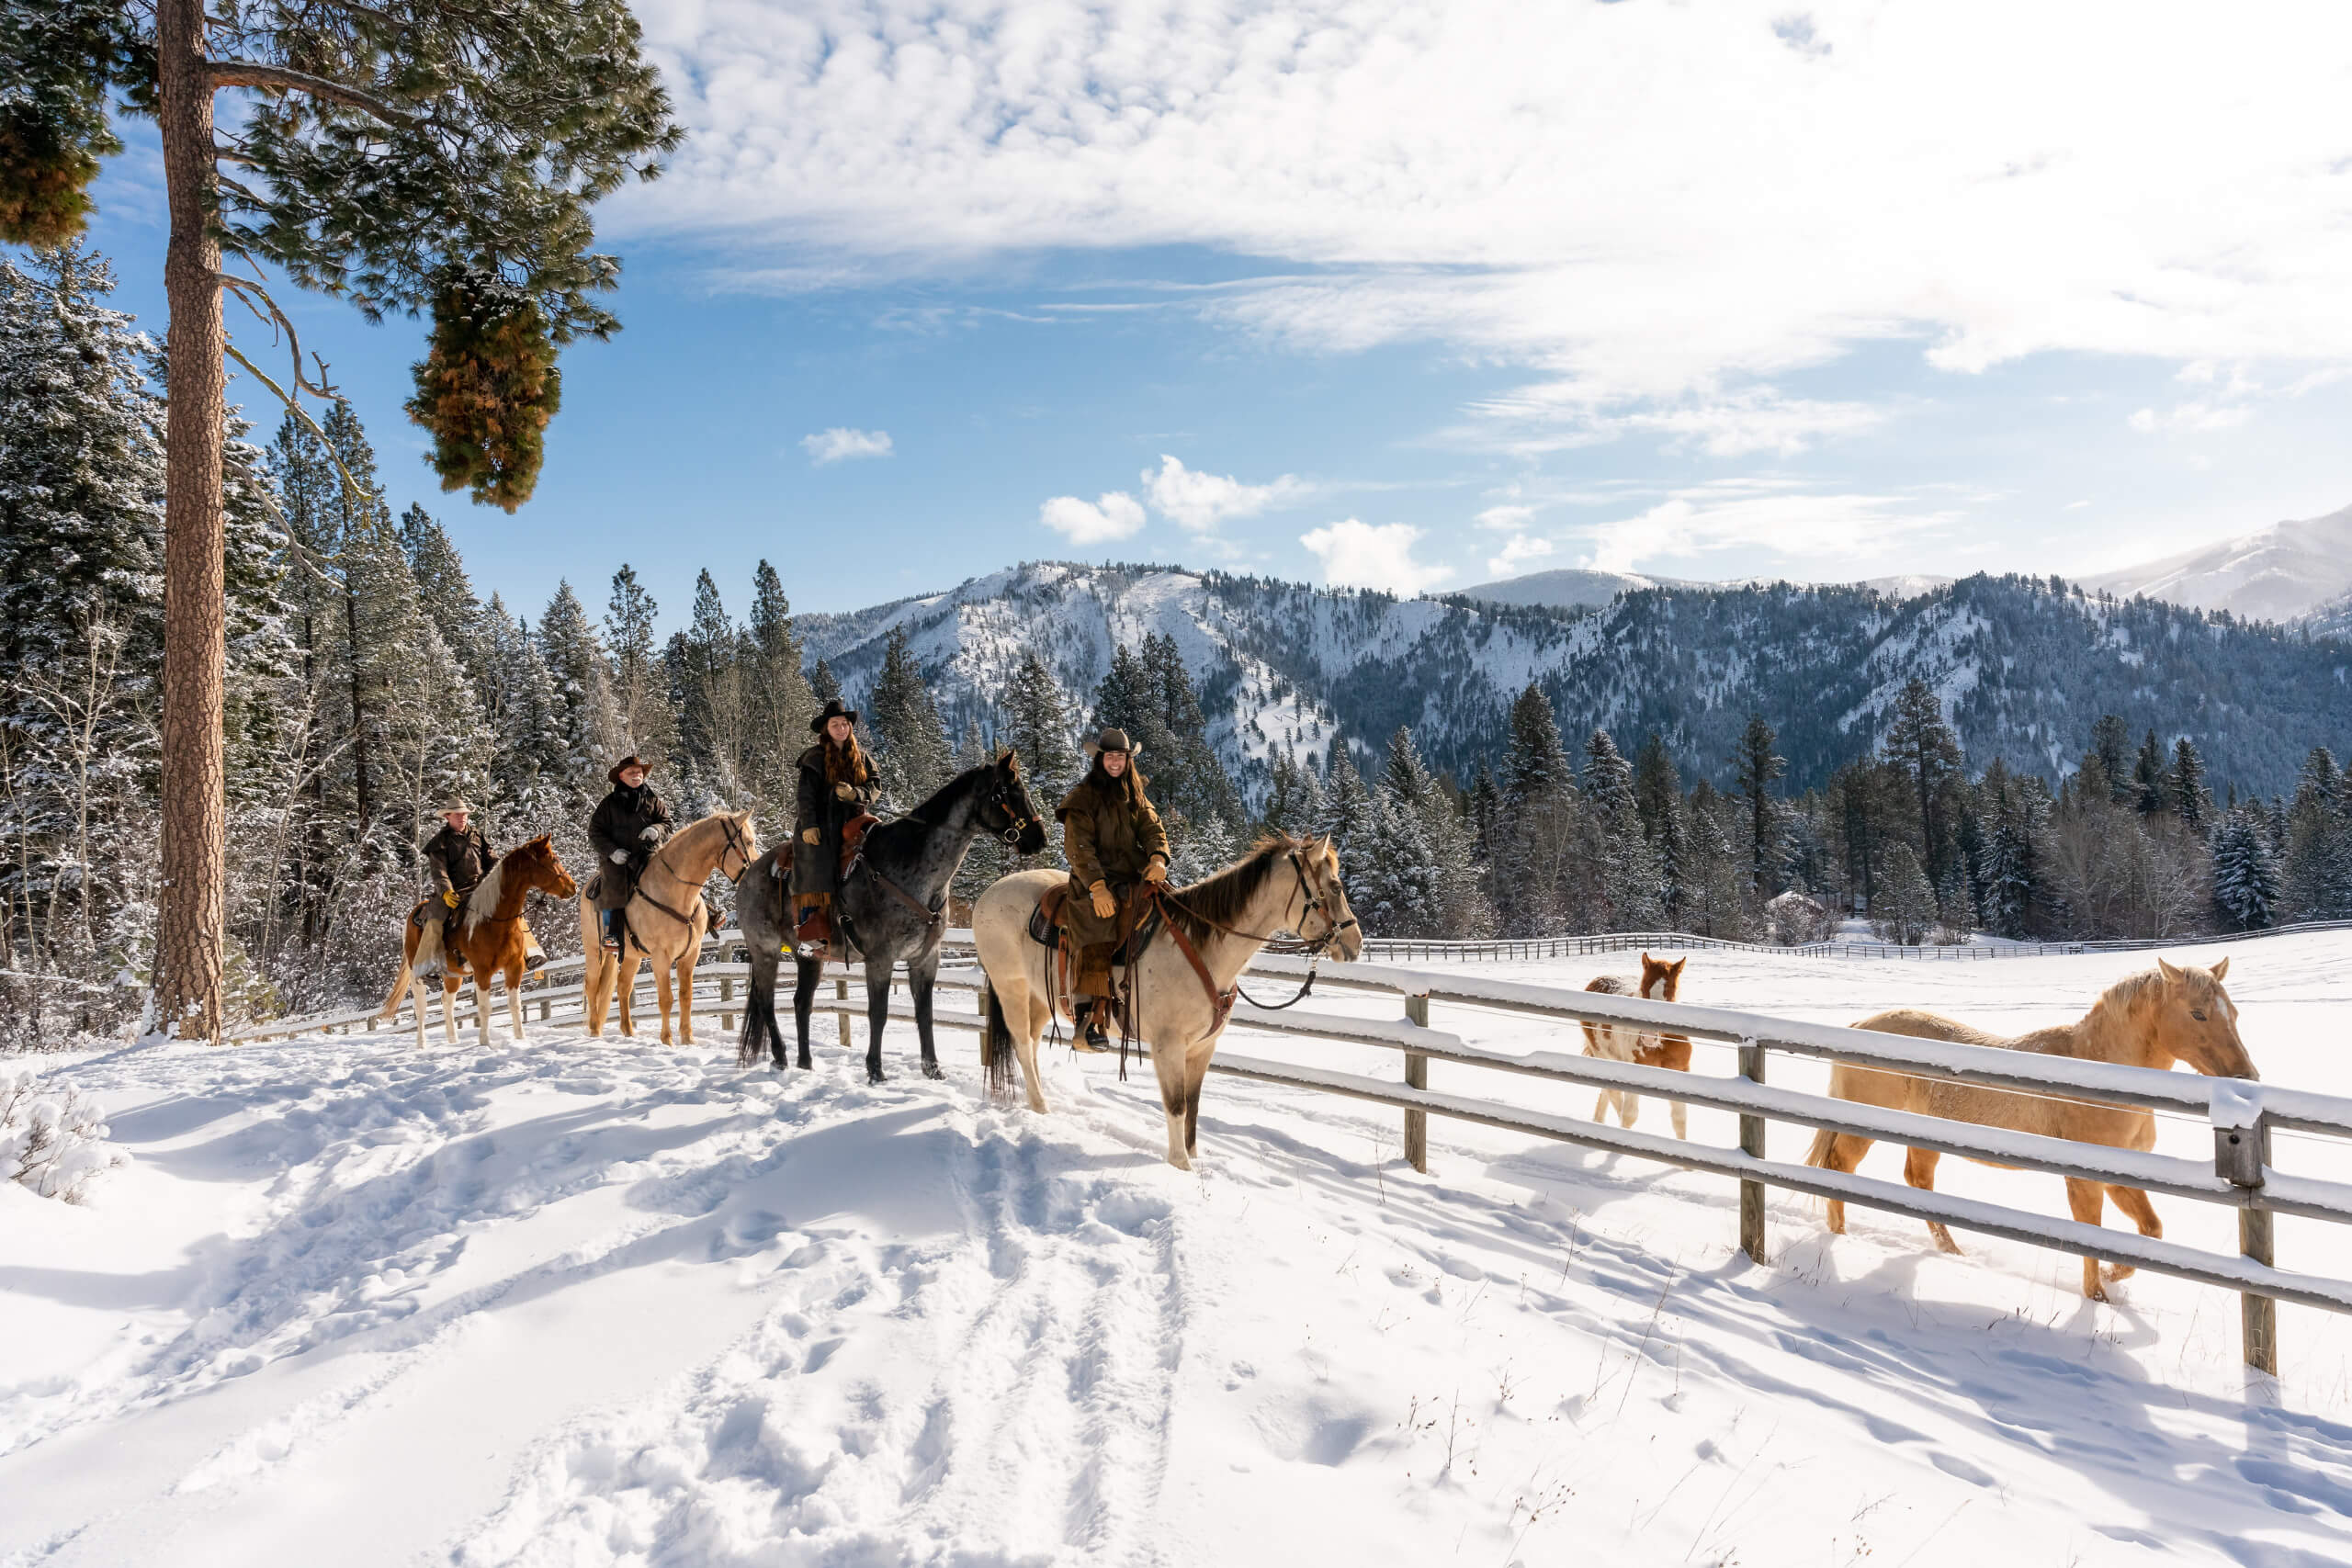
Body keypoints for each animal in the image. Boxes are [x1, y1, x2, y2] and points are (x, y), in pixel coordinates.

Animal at [379, 841, 581, 1048]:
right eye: (553, 860)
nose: (573, 886)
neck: (492, 919)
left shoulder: (514, 967)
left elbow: (515, 1004)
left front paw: (520, 1039)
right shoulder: (482, 971)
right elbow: (484, 1007)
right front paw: (485, 1042)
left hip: (452, 975)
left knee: (446, 1002)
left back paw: (453, 1041)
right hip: (416, 974)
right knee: (421, 1007)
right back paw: (421, 1044)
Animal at [573, 808, 757, 1053]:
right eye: (748, 841)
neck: (674, 891)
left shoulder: (690, 955)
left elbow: (686, 996)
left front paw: (688, 1038)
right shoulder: (661, 957)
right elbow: (666, 998)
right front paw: (667, 1039)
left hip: (632, 956)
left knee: (623, 987)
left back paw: (628, 1031)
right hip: (595, 952)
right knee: (592, 986)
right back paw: (595, 1031)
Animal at [973, 841, 1374, 1170]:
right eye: (1335, 886)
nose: (1355, 942)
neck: (1201, 949)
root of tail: (988, 894)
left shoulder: (1202, 1047)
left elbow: (1193, 1104)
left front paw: (1194, 1157)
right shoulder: (1168, 1047)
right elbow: (1176, 1105)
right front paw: (1180, 1165)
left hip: (1042, 998)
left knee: (1032, 1045)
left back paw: (1039, 1096)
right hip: (1012, 988)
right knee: (1021, 1044)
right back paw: (1041, 1106)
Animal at [1580, 959, 1693, 1142]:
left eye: (1670, 988)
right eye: (1644, 987)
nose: (1649, 1037)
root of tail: (1597, 980)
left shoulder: (1680, 1070)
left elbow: (1679, 1119)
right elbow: (1629, 1116)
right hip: (1603, 1056)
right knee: (1614, 1095)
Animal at [1796, 959, 2257, 1297]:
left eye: (2235, 1013)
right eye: (2198, 1014)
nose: (2249, 1077)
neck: (2093, 1074)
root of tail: (1858, 1028)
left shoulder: (2120, 1176)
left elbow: (2151, 1230)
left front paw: (2113, 1277)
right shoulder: (2084, 1180)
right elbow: (2091, 1234)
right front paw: (2097, 1296)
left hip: (1923, 1136)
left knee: (1917, 1181)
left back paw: (1952, 1252)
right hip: (1861, 1127)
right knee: (1839, 1166)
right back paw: (1840, 1236)